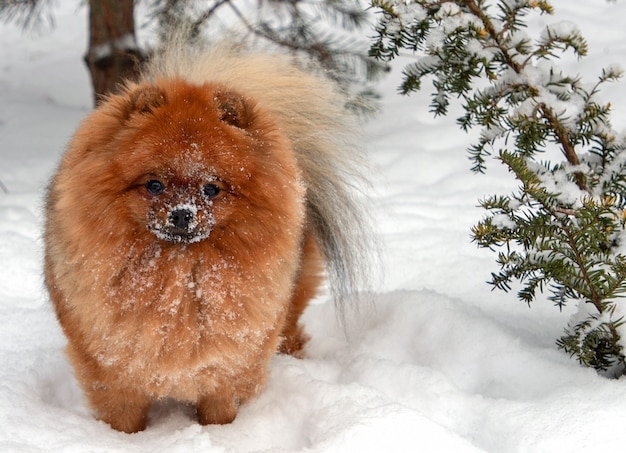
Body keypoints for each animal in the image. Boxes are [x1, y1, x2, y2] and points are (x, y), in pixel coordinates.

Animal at [45, 40, 370, 432]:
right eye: (154, 185)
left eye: (212, 189)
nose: (182, 213)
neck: (180, 279)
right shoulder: (111, 369)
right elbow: (124, 416)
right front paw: (124, 440)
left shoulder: (228, 365)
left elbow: (220, 408)